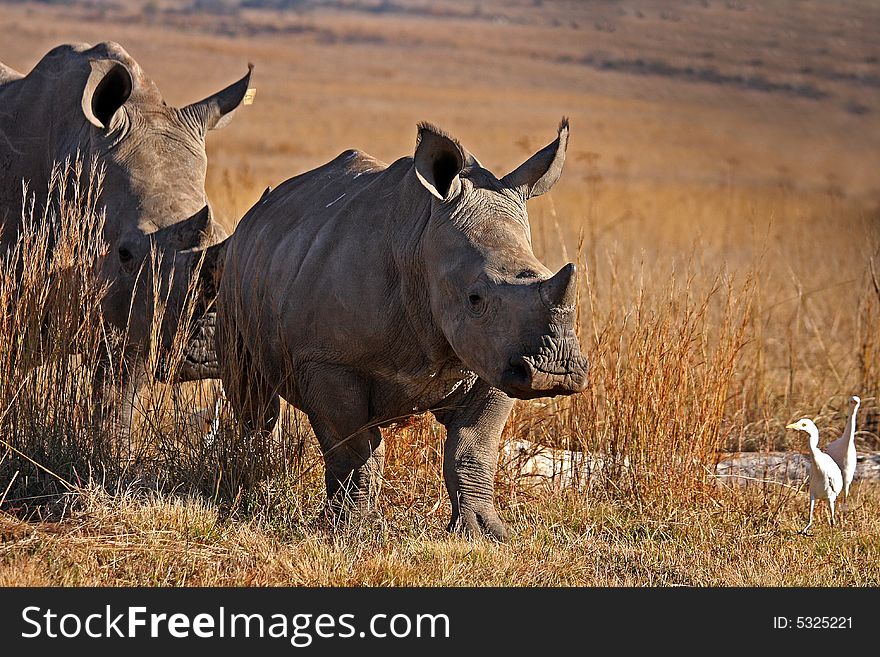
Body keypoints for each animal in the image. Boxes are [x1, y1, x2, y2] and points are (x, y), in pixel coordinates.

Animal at [213, 118, 588, 540]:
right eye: (474, 299)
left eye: (543, 273)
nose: (555, 372)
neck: (421, 241)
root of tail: (256, 214)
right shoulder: (328, 362)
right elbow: (351, 447)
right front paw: (350, 531)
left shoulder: (496, 360)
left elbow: (473, 448)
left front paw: (484, 534)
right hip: (232, 269)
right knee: (252, 392)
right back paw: (255, 476)